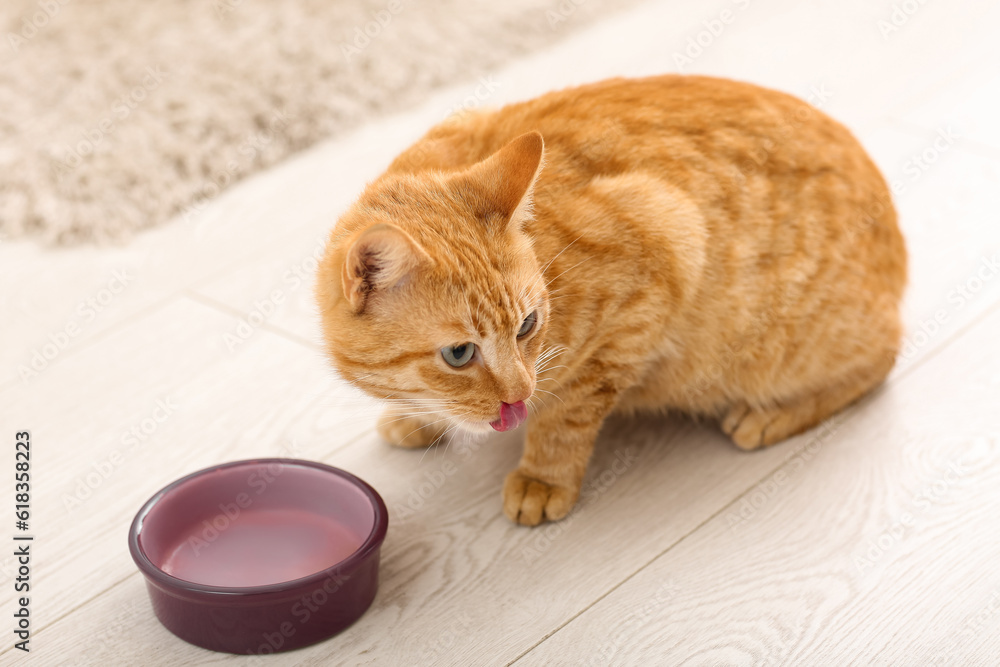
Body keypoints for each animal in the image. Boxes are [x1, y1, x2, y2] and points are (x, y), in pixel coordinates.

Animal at [316, 75, 912, 528]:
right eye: (459, 354)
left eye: (528, 325)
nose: (520, 392)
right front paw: (418, 417)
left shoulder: (658, 256)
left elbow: (568, 415)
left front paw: (543, 476)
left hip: (791, 349)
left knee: (882, 358)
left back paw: (772, 414)